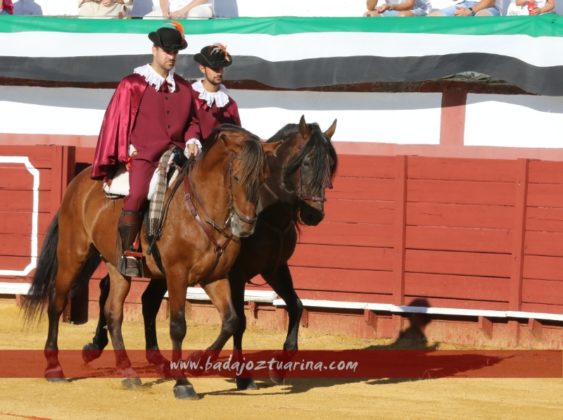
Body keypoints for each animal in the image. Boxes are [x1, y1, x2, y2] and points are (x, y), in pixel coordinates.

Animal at [24, 125, 280, 400]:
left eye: (263, 178)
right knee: (57, 302)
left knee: (113, 311)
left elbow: (231, 320)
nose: (245, 226)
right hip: (73, 255)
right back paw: (54, 368)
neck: (202, 211)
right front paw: (182, 383)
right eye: (236, 177)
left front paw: (197, 363)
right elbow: (178, 325)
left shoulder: (215, 277)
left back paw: (127, 371)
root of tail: (80, 181)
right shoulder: (177, 275)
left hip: (117, 267)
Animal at [83, 115, 338, 390]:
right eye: (307, 162)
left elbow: (296, 306)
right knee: (112, 289)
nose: (314, 214)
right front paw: (238, 374)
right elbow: (240, 321)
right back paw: (98, 347)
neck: (270, 213)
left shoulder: (275, 268)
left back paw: (142, 356)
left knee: (144, 299)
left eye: (331, 165)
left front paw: (279, 367)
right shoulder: (235, 274)